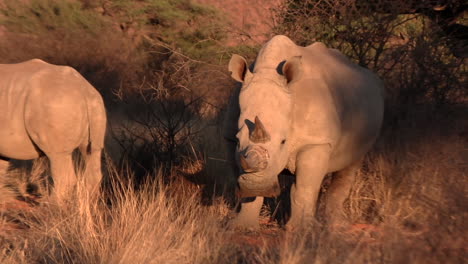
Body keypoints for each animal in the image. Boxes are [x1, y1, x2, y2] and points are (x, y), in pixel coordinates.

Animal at [0, 58, 106, 201]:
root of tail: (84, 90)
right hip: (96, 105)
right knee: (92, 152)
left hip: (57, 103)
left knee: (57, 155)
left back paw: (51, 204)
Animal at [226, 35, 384, 229]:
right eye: (238, 140)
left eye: (283, 141)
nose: (258, 186)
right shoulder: (229, 137)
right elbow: (243, 183)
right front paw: (242, 226)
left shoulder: (316, 141)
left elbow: (305, 187)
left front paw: (301, 230)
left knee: (349, 166)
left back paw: (337, 226)